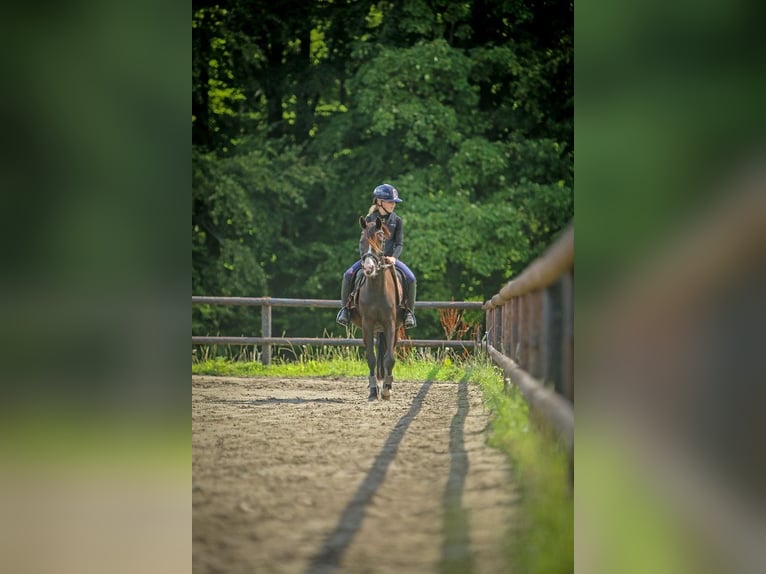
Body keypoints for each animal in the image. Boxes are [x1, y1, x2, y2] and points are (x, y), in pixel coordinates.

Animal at [350, 215, 404, 400]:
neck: (377, 289)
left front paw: (386, 389)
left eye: (380, 239)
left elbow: (390, 358)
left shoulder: (390, 324)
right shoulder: (367, 324)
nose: (368, 268)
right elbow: (371, 358)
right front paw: (374, 390)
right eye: (361, 240)